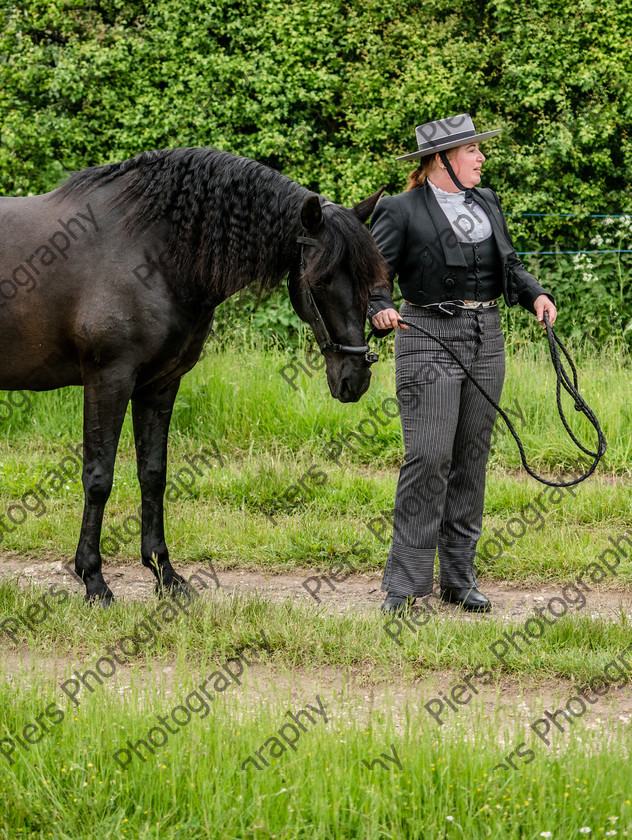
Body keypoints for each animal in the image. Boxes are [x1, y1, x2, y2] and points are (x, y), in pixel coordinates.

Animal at [0, 146, 388, 604]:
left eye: (370, 279)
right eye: (321, 279)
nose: (355, 378)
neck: (148, 252)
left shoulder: (159, 385)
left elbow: (153, 475)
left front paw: (164, 574)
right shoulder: (107, 379)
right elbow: (98, 477)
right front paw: (93, 580)